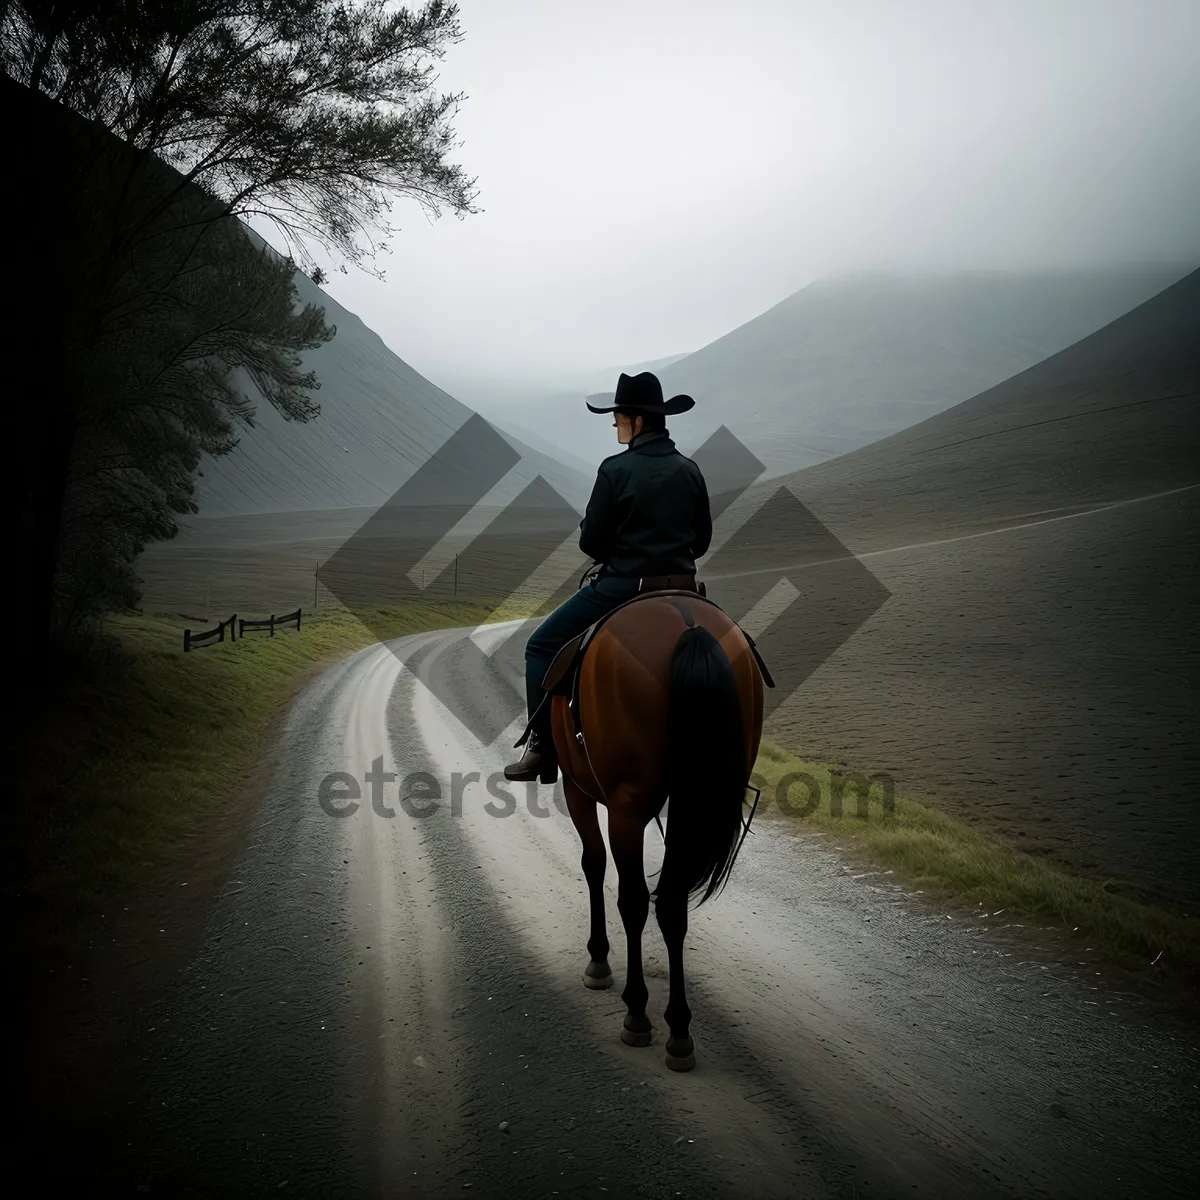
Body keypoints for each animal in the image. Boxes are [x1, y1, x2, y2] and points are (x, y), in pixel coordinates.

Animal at [549, 590, 763, 1070]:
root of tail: (687, 625)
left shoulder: (577, 788)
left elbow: (593, 864)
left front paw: (598, 958)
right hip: (691, 800)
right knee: (671, 905)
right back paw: (679, 1029)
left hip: (626, 807)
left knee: (633, 900)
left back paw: (637, 1013)